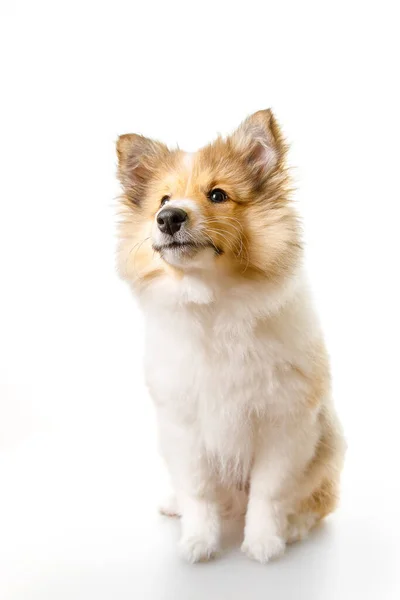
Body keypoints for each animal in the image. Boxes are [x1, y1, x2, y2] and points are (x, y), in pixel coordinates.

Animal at [115, 109, 344, 564]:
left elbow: (269, 494)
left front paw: (263, 544)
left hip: (328, 450)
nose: (169, 219)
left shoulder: (284, 426)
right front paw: (198, 543)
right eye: (163, 201)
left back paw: (294, 527)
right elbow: (199, 492)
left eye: (218, 195)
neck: (213, 303)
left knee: (318, 500)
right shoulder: (184, 426)